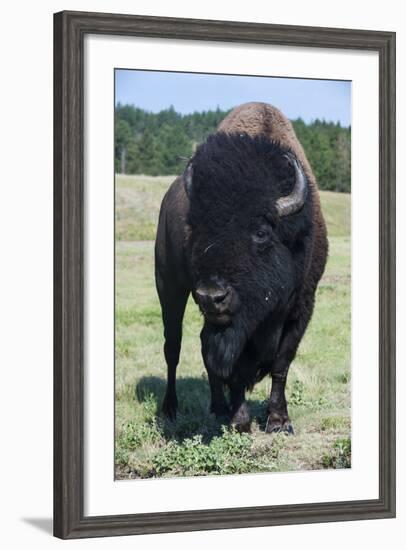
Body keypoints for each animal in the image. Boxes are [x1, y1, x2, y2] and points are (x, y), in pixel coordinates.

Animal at [154, 101, 328, 434]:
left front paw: (279, 421)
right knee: (173, 346)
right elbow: (234, 365)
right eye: (196, 228)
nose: (212, 296)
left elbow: (281, 363)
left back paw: (217, 407)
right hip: (169, 287)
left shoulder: (303, 306)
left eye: (261, 232)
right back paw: (171, 409)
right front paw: (241, 421)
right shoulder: (235, 325)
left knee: (202, 347)